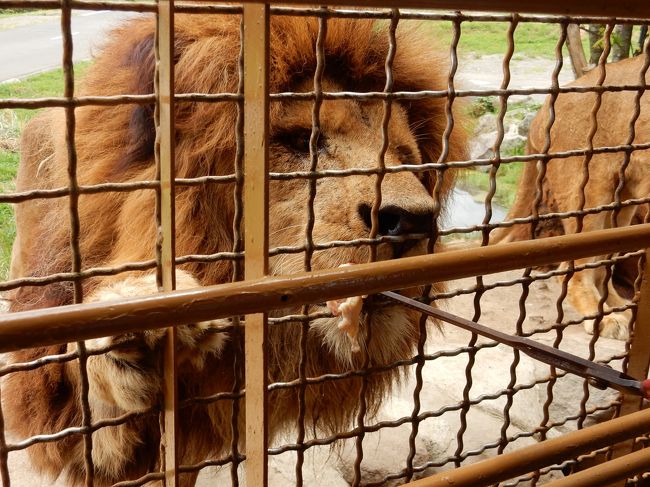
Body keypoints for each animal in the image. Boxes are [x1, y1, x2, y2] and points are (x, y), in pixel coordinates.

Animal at [492, 54, 648, 344]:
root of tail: (543, 109)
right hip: (588, 188)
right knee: (574, 268)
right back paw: (605, 318)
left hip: (621, 200)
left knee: (601, 268)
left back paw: (618, 310)